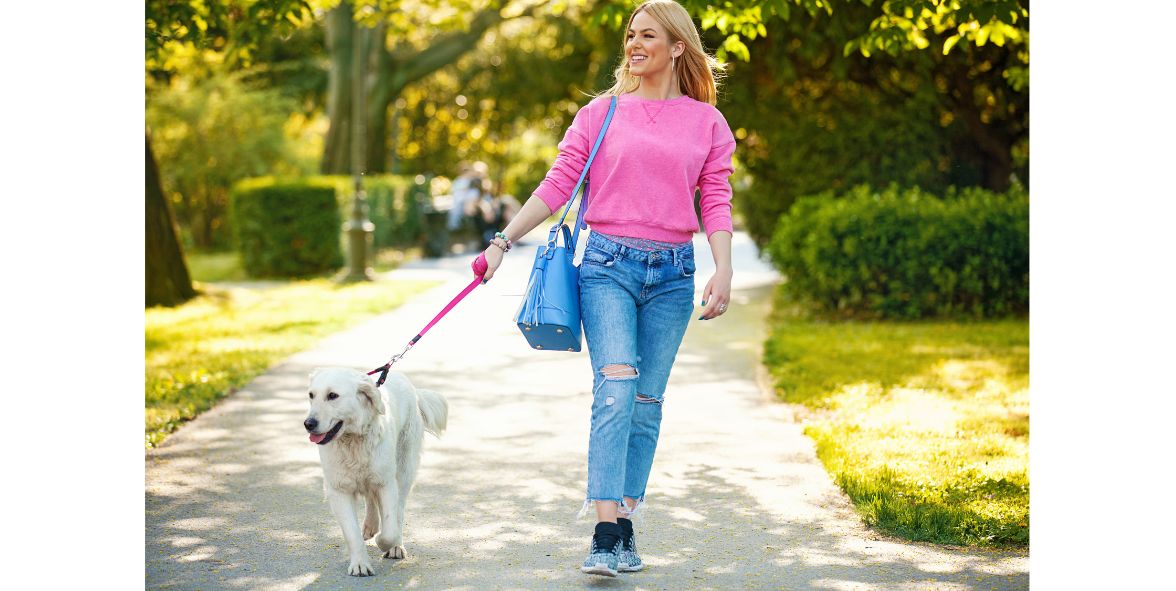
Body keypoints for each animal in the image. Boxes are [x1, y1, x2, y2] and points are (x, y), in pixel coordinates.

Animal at [303, 368, 449, 575]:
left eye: (332, 395)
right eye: (311, 395)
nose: (308, 423)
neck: (352, 440)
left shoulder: (386, 483)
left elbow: (389, 530)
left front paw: (384, 542)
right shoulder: (339, 490)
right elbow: (352, 533)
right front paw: (360, 564)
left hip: (404, 471)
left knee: (398, 511)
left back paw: (396, 546)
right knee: (371, 499)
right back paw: (370, 526)